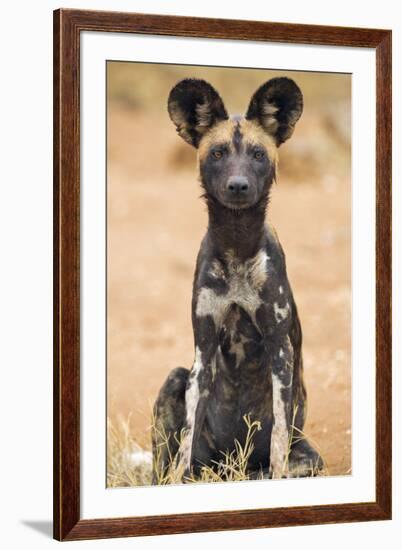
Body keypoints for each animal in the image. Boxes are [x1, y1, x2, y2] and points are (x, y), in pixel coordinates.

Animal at [152, 77, 324, 484]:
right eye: (217, 153)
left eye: (258, 154)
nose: (238, 185)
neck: (236, 245)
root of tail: (232, 466)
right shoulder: (203, 352)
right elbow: (185, 444)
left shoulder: (280, 349)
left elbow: (278, 438)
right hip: (177, 380)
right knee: (168, 465)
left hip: (309, 458)